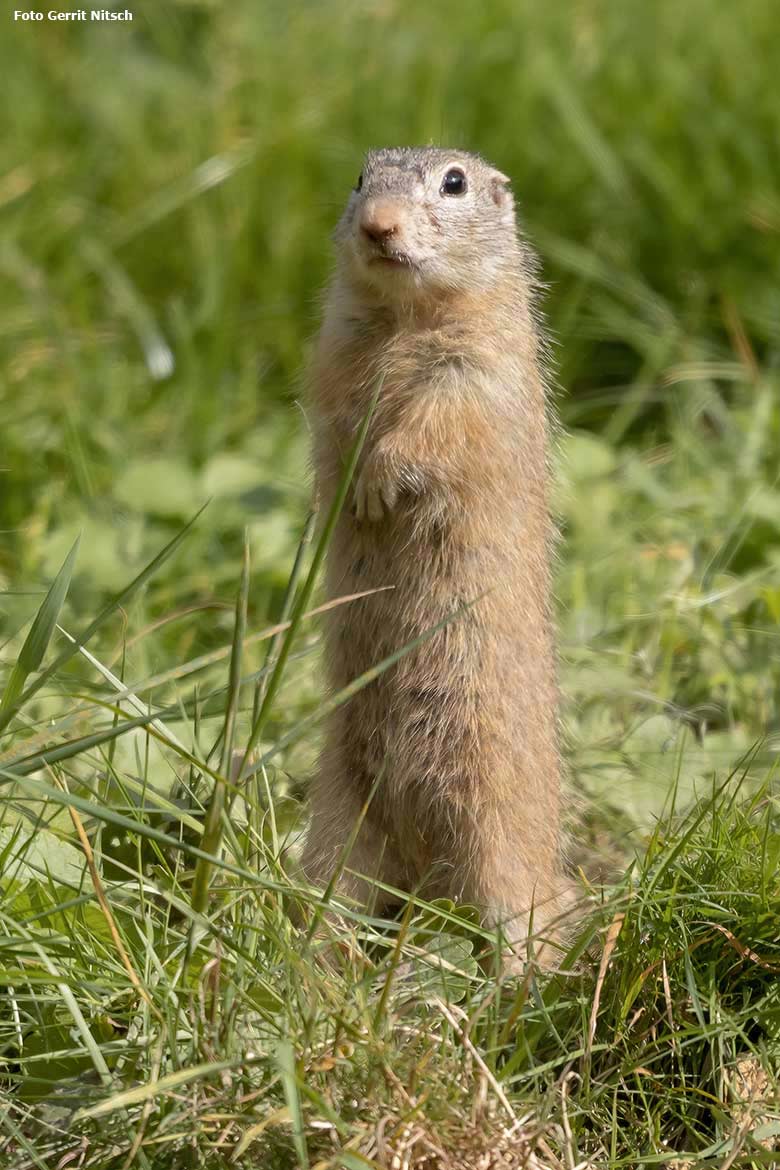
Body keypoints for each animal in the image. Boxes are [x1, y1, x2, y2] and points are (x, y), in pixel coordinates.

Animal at [301, 146, 563, 954]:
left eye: (454, 182)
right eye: (360, 179)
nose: (379, 225)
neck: (404, 318)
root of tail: (426, 878)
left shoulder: (478, 372)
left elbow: (434, 426)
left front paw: (377, 480)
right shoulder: (334, 351)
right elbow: (333, 412)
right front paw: (350, 481)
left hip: (500, 828)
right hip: (337, 819)